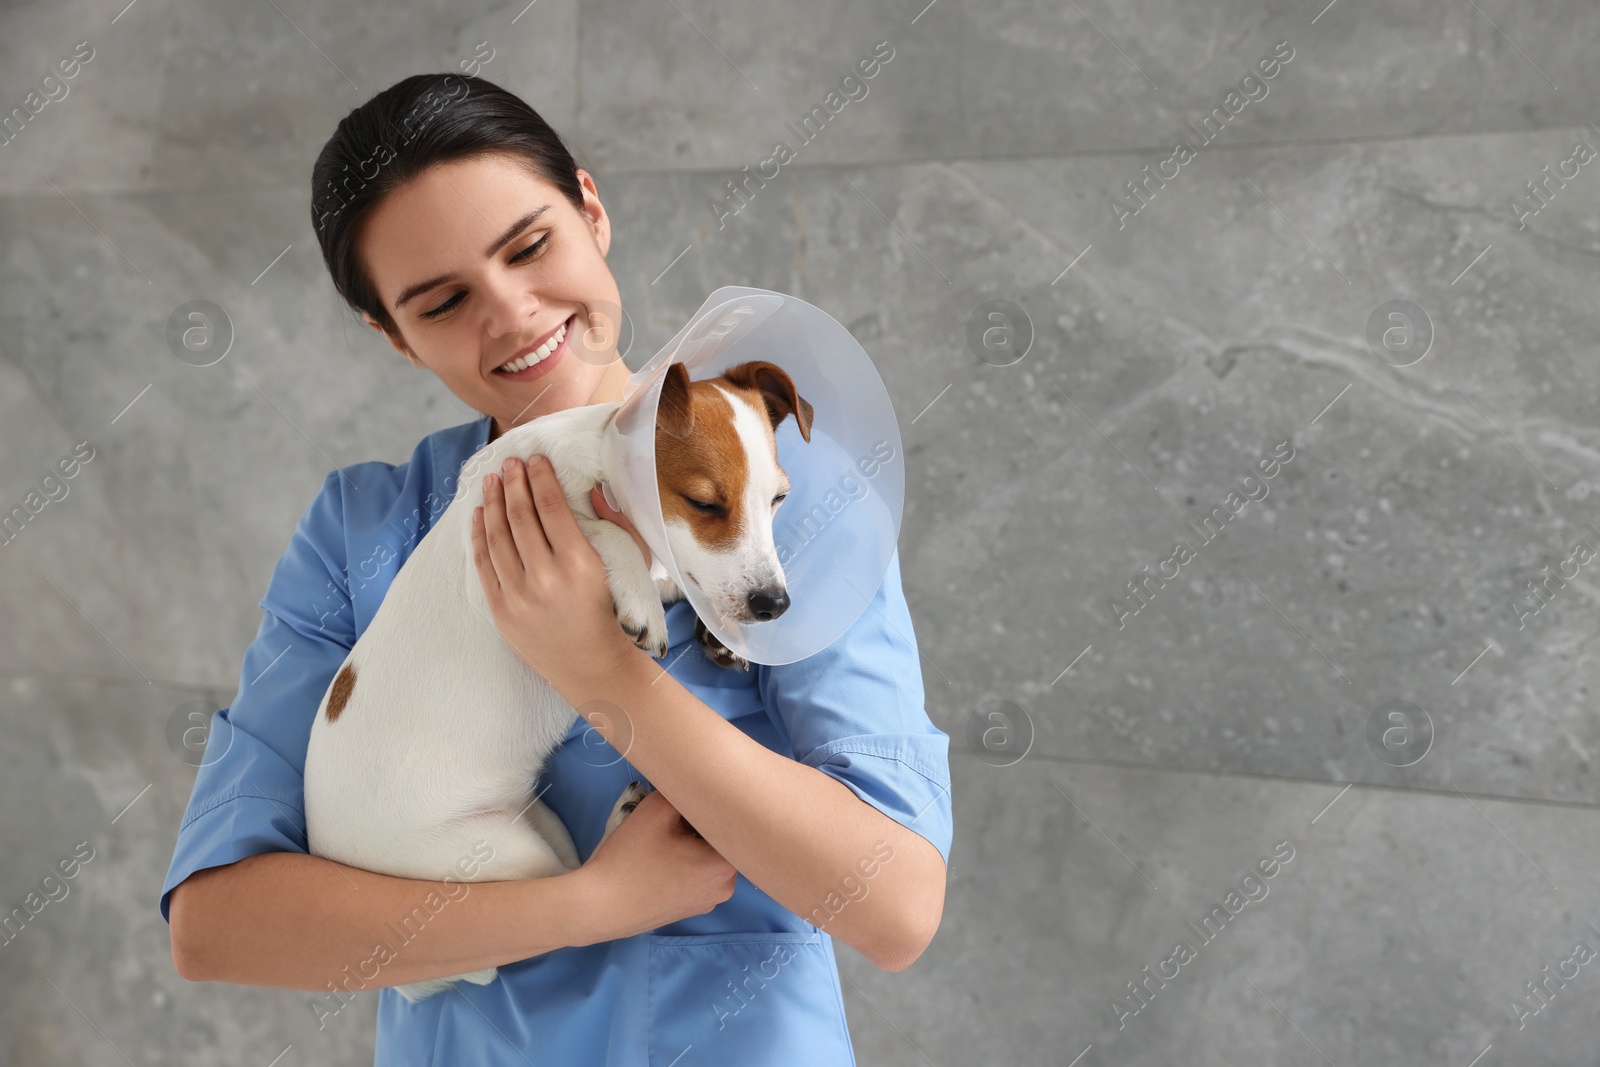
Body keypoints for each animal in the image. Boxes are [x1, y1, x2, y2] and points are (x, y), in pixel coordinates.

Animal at [302, 358, 812, 1004]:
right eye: (703, 503)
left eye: (779, 499)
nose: (774, 604)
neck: (598, 467)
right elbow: (608, 536)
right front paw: (644, 604)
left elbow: (674, 575)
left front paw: (711, 627)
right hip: (497, 858)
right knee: (572, 905)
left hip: (536, 823)